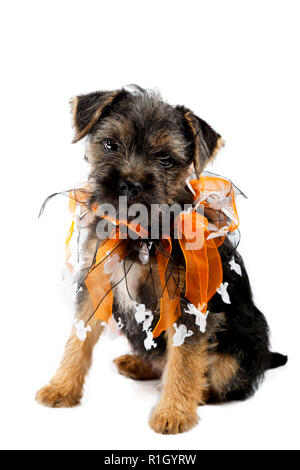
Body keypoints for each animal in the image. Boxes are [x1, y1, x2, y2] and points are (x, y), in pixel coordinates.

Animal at [36, 87, 288, 434]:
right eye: (110, 144)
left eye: (166, 159)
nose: (130, 183)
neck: (140, 231)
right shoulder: (95, 283)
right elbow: (79, 338)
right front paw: (61, 387)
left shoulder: (187, 305)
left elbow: (184, 360)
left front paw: (173, 413)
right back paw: (137, 363)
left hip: (238, 352)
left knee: (221, 380)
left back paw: (196, 393)